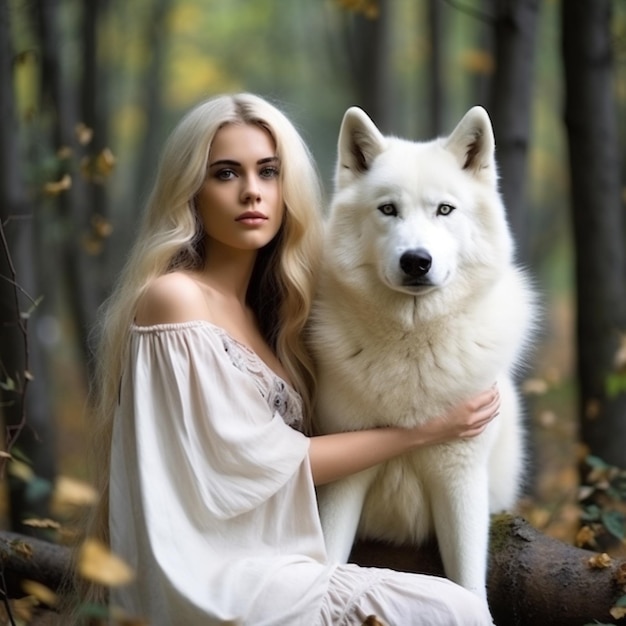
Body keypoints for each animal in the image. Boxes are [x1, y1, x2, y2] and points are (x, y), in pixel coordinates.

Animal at [310, 105, 532, 596]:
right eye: (388, 209)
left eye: (444, 209)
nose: (416, 260)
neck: (413, 348)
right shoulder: (344, 478)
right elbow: (327, 559)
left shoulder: (460, 480)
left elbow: (470, 587)